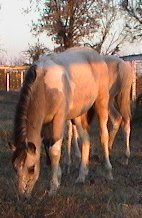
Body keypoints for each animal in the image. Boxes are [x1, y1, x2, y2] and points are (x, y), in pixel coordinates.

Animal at [9, 47, 111, 198]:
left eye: (32, 168)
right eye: (15, 168)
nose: (23, 195)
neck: (44, 86)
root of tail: (96, 55)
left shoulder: (59, 119)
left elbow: (54, 151)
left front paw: (53, 187)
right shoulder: (44, 124)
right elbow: (47, 146)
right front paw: (58, 176)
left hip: (101, 102)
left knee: (104, 135)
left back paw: (108, 172)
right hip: (78, 115)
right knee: (85, 140)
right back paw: (81, 176)